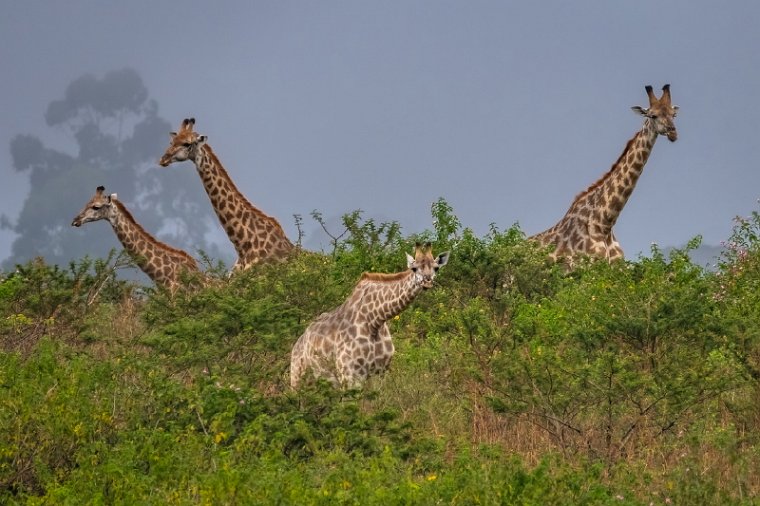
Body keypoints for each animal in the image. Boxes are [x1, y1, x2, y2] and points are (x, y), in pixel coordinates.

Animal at [290, 243, 446, 390]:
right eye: (414, 268)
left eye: (436, 268)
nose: (427, 281)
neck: (375, 320)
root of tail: (297, 345)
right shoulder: (349, 374)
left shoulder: (379, 373)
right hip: (298, 379)